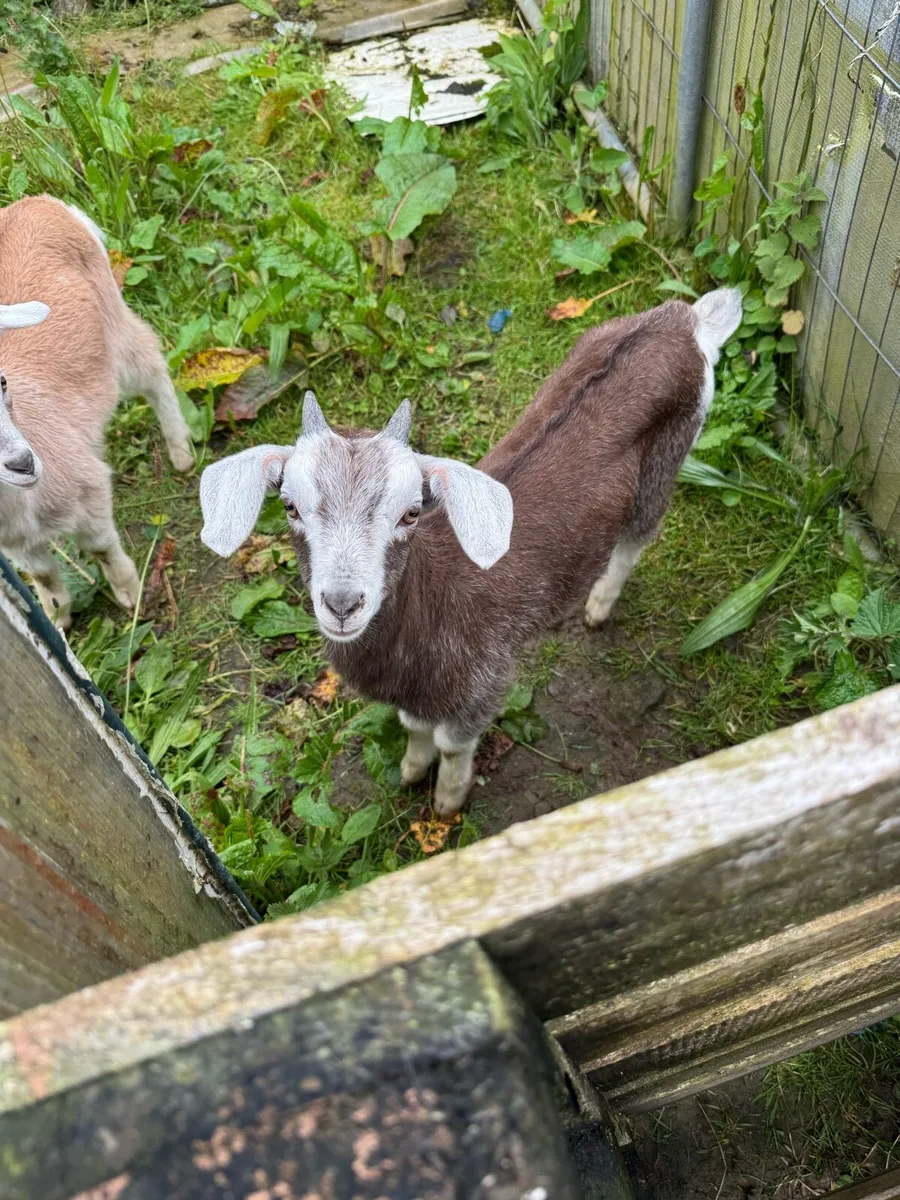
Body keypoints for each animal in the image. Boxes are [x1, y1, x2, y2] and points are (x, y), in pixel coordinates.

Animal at [0, 195, 194, 628]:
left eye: (2, 383)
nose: (23, 463)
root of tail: (38, 201)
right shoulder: (14, 545)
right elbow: (43, 575)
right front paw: (58, 619)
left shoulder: (86, 489)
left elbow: (101, 547)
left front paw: (132, 597)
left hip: (113, 319)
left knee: (152, 363)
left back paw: (182, 452)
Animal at [200, 288, 742, 815]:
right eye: (289, 505)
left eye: (411, 512)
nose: (342, 604)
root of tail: (686, 319)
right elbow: (416, 725)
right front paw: (411, 769)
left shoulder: (485, 679)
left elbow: (453, 742)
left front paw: (447, 799)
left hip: (667, 459)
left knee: (635, 539)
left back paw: (599, 606)